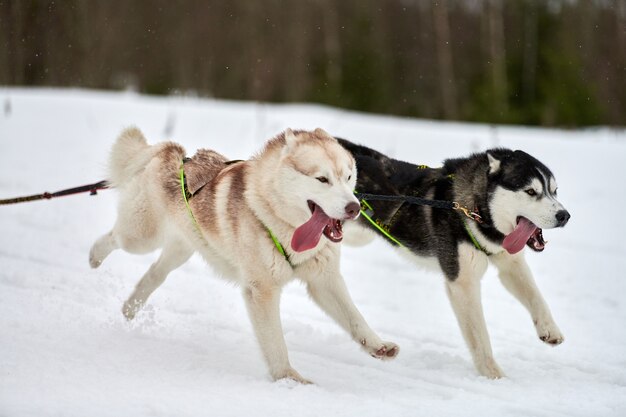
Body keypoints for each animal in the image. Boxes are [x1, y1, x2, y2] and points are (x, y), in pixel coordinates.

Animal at [89, 127, 394, 384]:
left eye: (348, 177)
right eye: (322, 179)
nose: (355, 208)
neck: (283, 224)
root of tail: (175, 154)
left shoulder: (324, 281)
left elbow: (355, 318)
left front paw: (377, 345)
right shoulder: (262, 291)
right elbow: (275, 342)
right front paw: (288, 378)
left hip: (181, 249)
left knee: (154, 274)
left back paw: (130, 308)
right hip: (142, 237)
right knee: (115, 238)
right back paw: (95, 255)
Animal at [338, 138, 568, 378]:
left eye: (554, 191)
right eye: (531, 191)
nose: (564, 216)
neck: (475, 210)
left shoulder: (510, 262)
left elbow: (536, 296)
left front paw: (549, 328)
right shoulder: (463, 283)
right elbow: (480, 337)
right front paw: (493, 375)